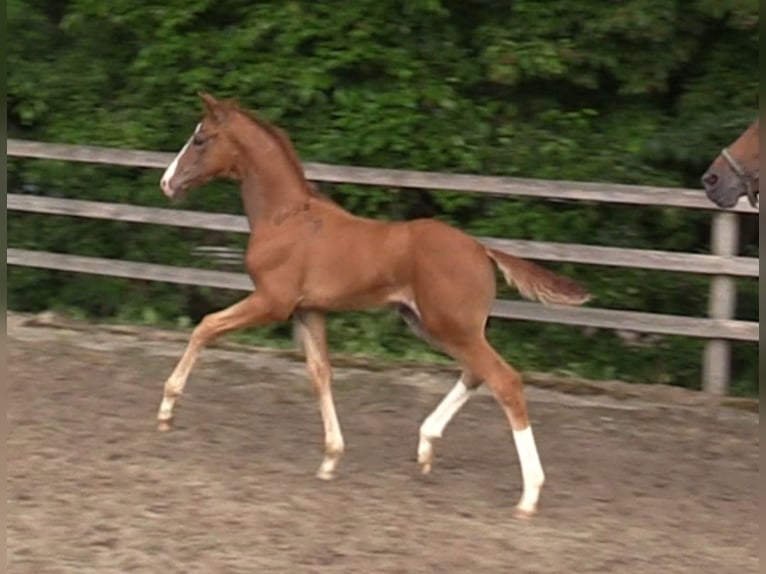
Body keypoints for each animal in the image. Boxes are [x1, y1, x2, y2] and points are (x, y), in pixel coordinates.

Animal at [154, 92, 588, 520]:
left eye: (200, 139)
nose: (166, 183)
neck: (286, 218)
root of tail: (483, 250)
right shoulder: (308, 310)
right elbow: (320, 374)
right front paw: (331, 459)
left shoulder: (272, 301)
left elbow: (206, 326)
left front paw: (167, 411)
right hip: (432, 325)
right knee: (477, 374)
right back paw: (426, 445)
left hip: (452, 327)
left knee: (505, 381)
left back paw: (529, 495)